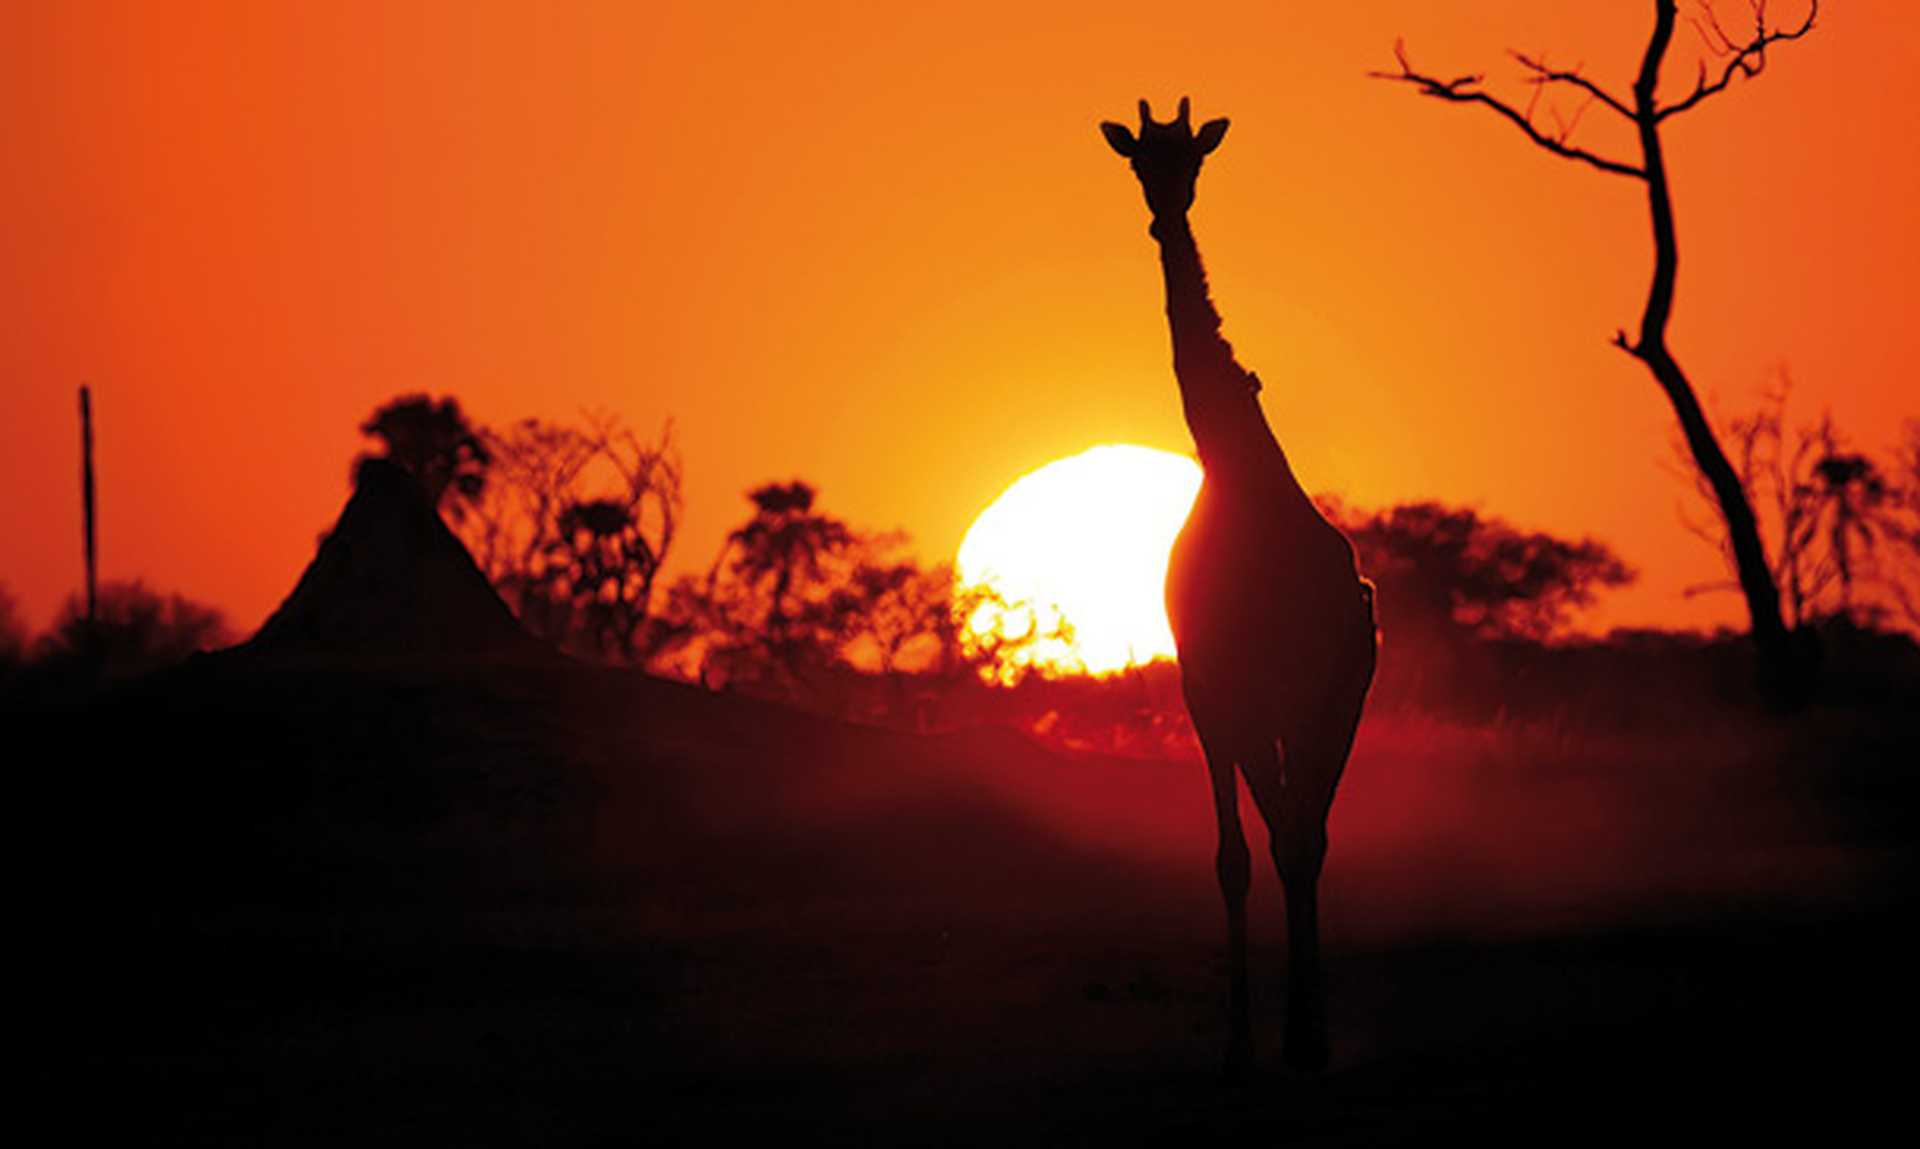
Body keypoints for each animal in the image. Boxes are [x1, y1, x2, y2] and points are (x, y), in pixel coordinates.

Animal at [1101, 98, 1377, 1075]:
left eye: (1193, 160)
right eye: (1140, 160)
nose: (1165, 211)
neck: (1232, 458)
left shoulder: (1217, 690)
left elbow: (1249, 851)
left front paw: (1248, 1040)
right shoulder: (1229, 692)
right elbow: (1253, 849)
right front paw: (1262, 1037)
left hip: (1315, 699)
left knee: (1298, 832)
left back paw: (1300, 1035)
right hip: (1309, 705)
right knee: (1300, 830)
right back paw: (1307, 1033)